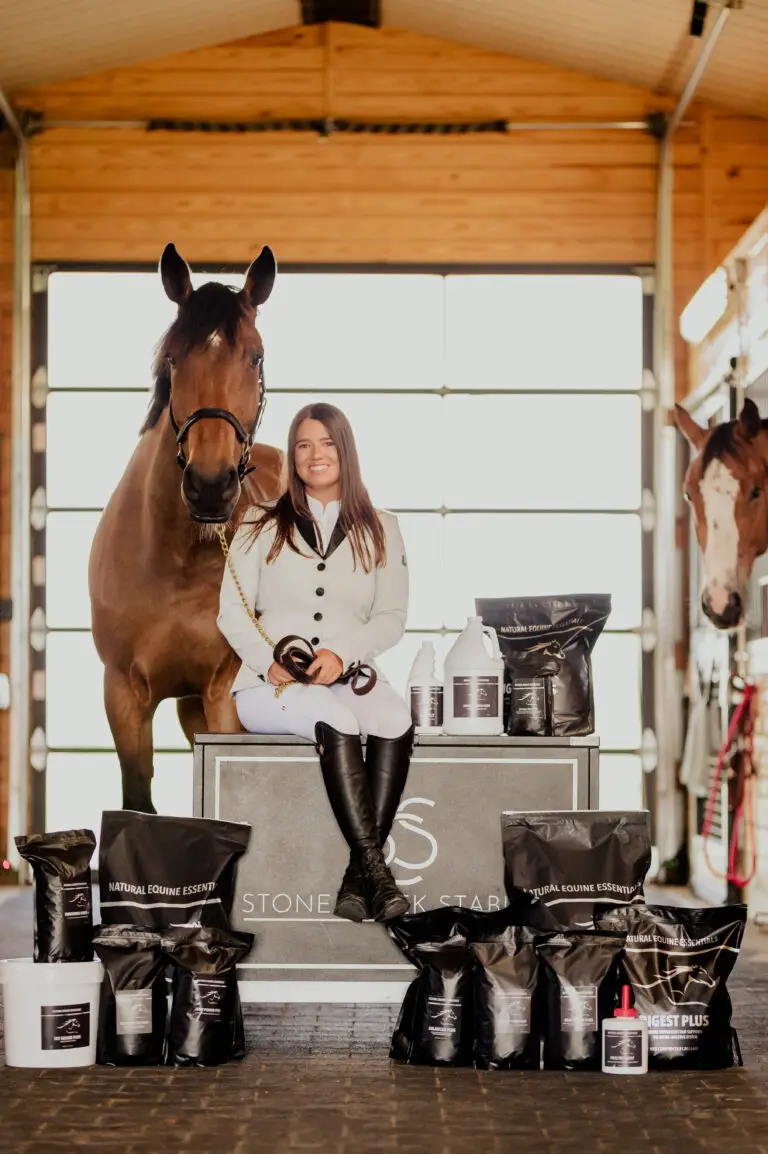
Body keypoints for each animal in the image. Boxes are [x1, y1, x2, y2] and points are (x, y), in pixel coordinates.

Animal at [89, 244, 284, 814]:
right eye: (174, 358)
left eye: (256, 357)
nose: (210, 485)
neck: (175, 560)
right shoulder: (124, 695)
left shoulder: (224, 696)